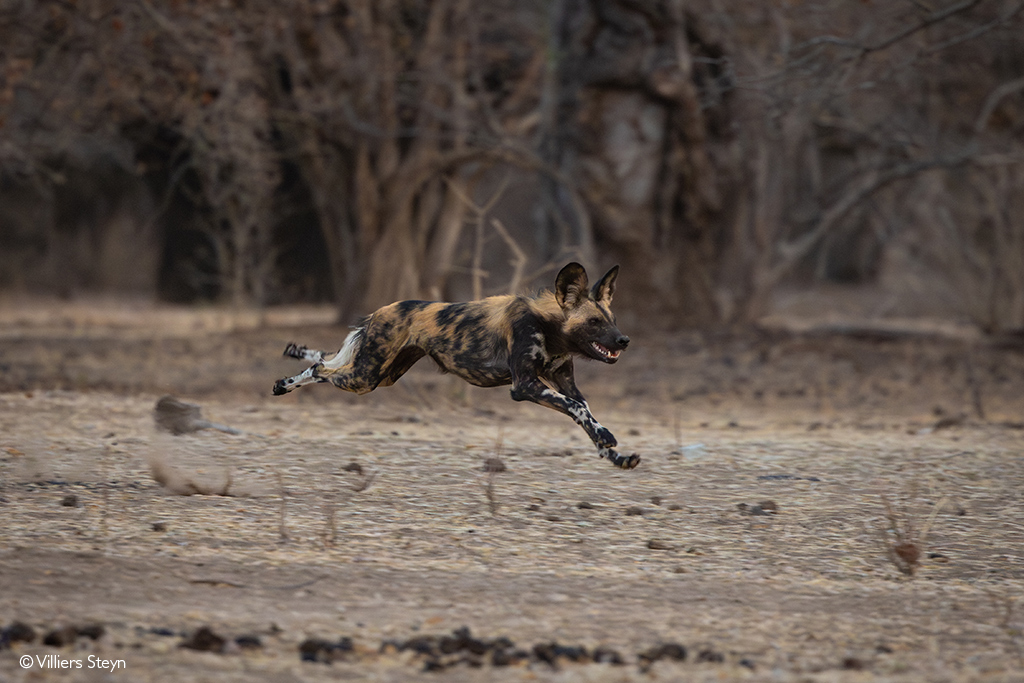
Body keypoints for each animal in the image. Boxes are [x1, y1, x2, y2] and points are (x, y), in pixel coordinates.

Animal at [276, 262, 634, 471]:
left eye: (613, 319)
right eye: (594, 322)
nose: (624, 340)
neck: (549, 327)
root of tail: (381, 310)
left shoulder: (564, 383)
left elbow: (585, 414)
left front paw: (615, 455)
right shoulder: (525, 386)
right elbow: (577, 409)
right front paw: (608, 440)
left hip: (384, 375)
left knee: (325, 363)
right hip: (365, 377)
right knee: (320, 368)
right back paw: (282, 385)